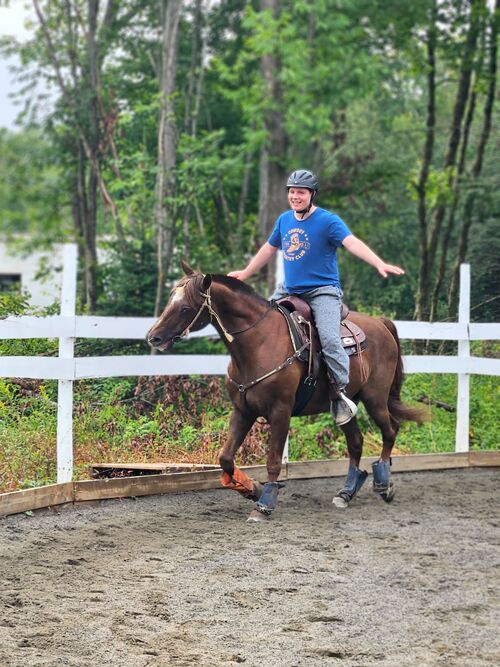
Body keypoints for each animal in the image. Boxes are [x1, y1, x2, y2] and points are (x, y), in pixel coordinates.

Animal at [147, 261, 425, 522]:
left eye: (185, 307)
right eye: (170, 298)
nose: (153, 337)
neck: (259, 342)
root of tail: (381, 323)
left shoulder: (280, 412)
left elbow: (273, 460)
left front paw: (265, 504)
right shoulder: (243, 410)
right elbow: (225, 457)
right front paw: (253, 489)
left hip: (375, 398)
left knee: (391, 430)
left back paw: (384, 484)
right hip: (346, 405)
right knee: (356, 442)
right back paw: (346, 493)